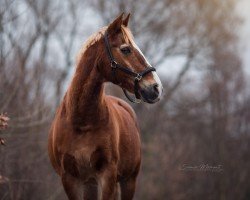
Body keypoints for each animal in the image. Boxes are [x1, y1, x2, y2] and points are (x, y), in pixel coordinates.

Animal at [47, 13, 163, 199]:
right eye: (125, 49)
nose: (156, 88)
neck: (82, 122)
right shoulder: (70, 179)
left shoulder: (107, 175)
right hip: (90, 183)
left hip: (128, 180)